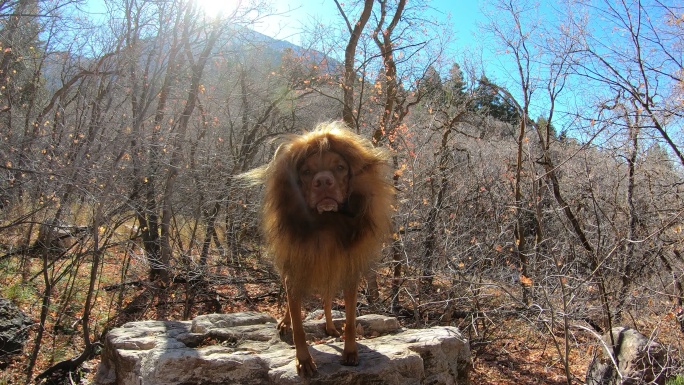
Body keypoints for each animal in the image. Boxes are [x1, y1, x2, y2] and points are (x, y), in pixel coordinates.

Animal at [242, 121, 392, 374]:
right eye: (306, 172)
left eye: (340, 167)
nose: (323, 182)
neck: (326, 224)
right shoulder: (295, 273)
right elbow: (299, 326)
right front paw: (303, 360)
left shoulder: (348, 272)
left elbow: (350, 320)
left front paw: (350, 352)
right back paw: (285, 323)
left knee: (327, 300)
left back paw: (330, 326)